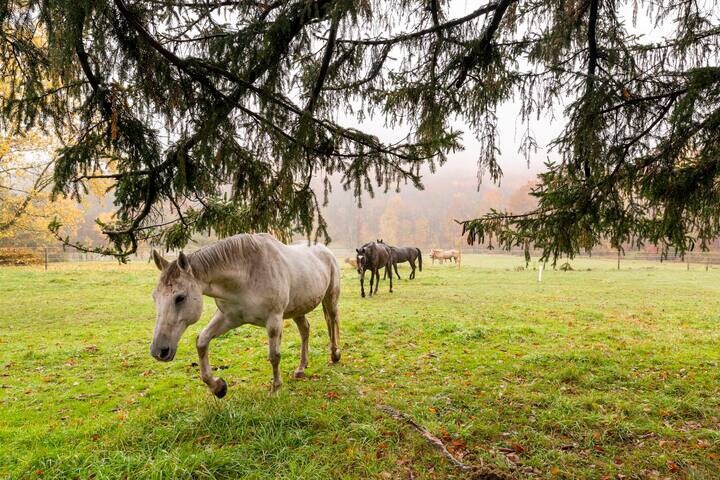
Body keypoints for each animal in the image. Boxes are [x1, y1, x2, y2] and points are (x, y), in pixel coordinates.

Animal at [148, 233, 340, 398]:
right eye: (154, 297)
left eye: (180, 297)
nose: (159, 351)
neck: (248, 273)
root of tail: (325, 250)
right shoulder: (229, 318)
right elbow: (202, 341)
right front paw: (218, 387)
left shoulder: (274, 320)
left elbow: (274, 355)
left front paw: (276, 389)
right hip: (297, 309)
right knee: (305, 330)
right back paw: (301, 368)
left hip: (330, 298)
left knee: (332, 321)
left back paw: (335, 354)